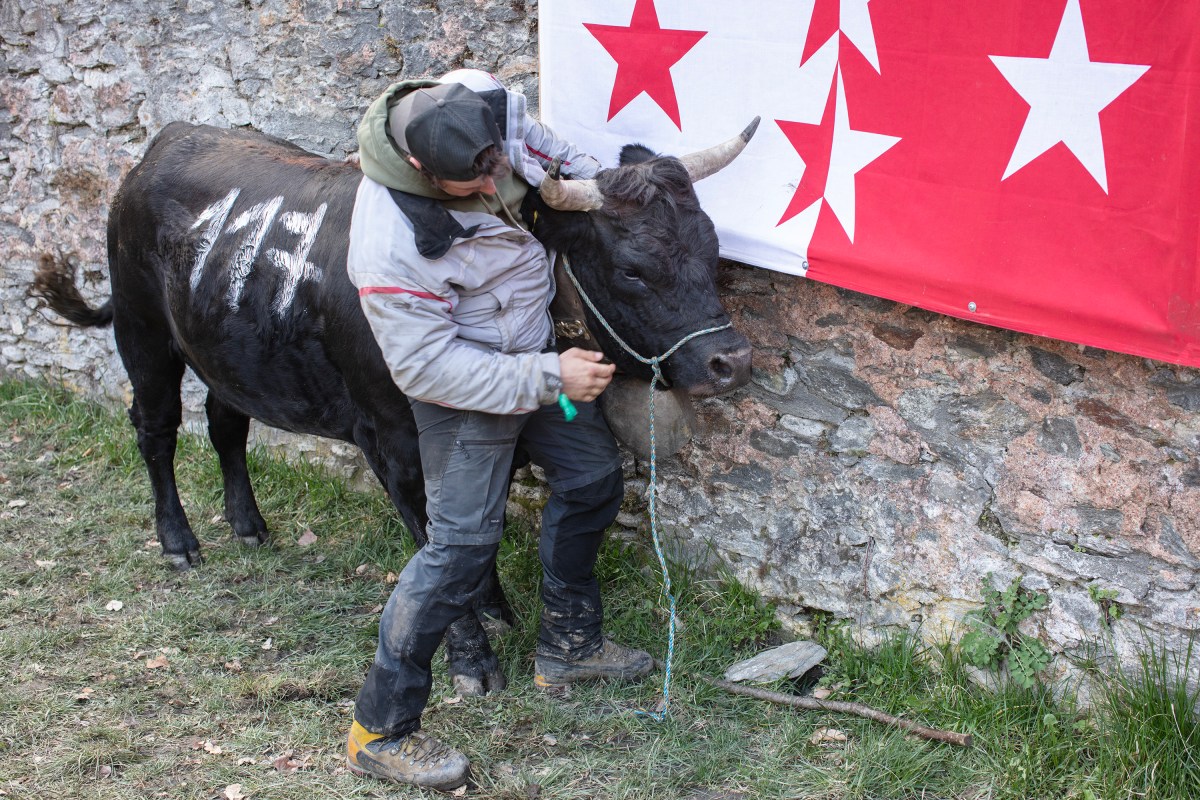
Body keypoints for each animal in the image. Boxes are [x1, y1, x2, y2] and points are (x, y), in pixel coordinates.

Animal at [32, 117, 757, 694]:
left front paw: (495, 608)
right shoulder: (394, 446)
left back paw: (248, 524)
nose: (732, 361)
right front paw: (472, 659)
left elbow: (483, 530)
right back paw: (179, 542)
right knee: (155, 430)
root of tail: (170, 139)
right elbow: (442, 542)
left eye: (711, 245)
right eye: (633, 269)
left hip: (229, 351)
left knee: (225, 423)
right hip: (144, 333)